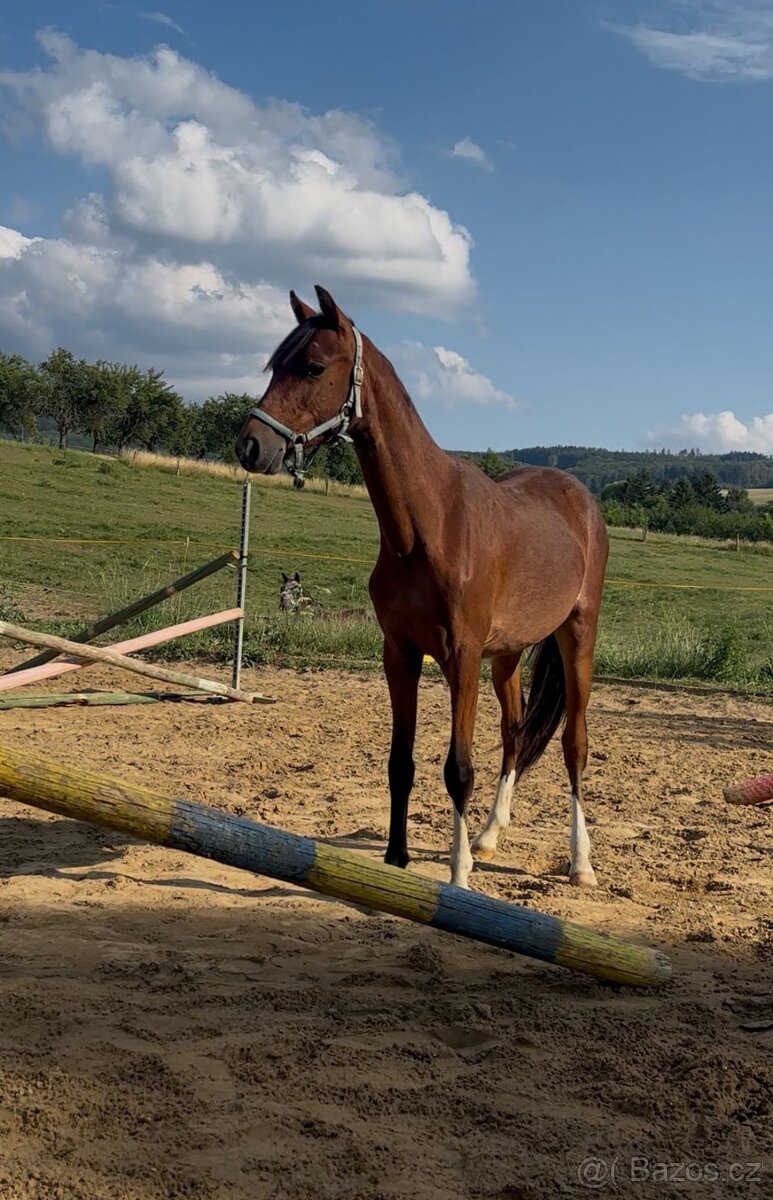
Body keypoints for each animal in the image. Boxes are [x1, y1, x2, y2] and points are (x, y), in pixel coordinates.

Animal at [236, 286, 609, 890]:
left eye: (313, 366)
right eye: (275, 366)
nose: (250, 446)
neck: (427, 526)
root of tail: (580, 498)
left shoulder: (461, 658)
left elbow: (458, 769)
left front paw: (457, 876)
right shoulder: (401, 653)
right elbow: (401, 761)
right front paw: (396, 861)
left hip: (578, 635)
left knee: (574, 746)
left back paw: (580, 863)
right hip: (507, 656)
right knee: (514, 733)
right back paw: (488, 835)